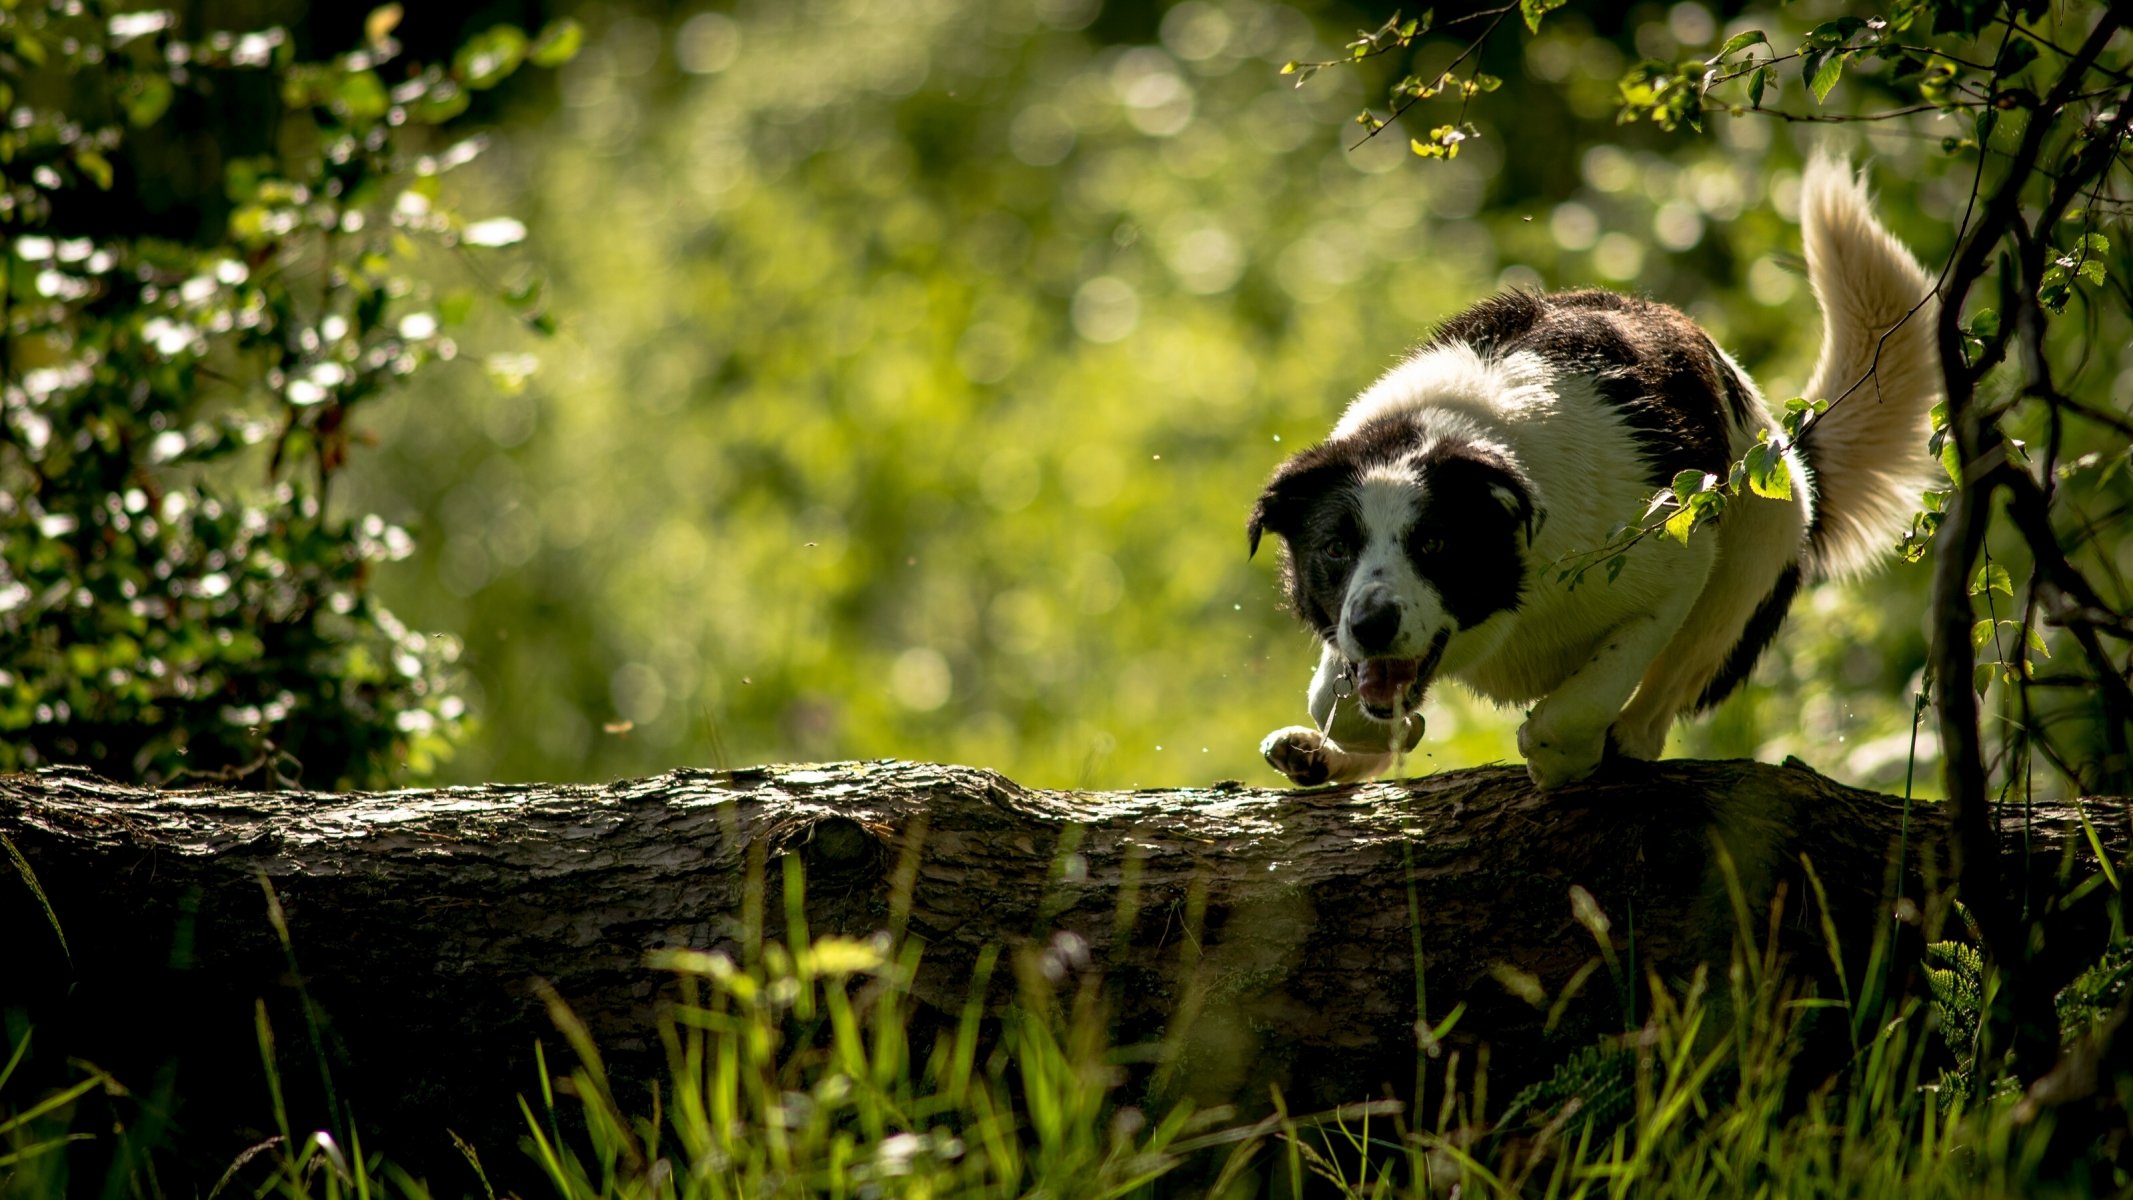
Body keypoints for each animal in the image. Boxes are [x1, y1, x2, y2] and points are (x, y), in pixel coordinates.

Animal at [1254, 157, 1945, 788]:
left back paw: (1626, 739)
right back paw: (1319, 756)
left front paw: (1564, 754)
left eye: (1436, 543)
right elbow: (1338, 699)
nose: (1371, 625)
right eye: (1334, 548)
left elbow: (1578, 705)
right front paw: (1376, 731)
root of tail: (1788, 447)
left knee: (1671, 685)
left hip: (1752, 557)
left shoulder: (1673, 567)